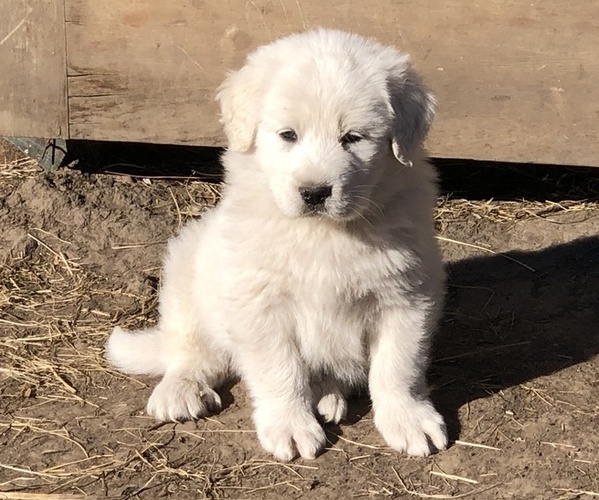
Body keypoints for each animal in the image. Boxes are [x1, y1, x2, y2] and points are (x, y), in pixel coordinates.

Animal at [105, 30, 448, 460]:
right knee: (189, 351)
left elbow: (399, 367)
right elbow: (280, 370)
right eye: (288, 135)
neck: (324, 232)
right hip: (188, 272)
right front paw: (290, 426)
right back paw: (180, 390)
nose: (315, 192)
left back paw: (327, 394)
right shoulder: (260, 303)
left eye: (353, 138)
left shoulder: (407, 295)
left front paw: (409, 419)